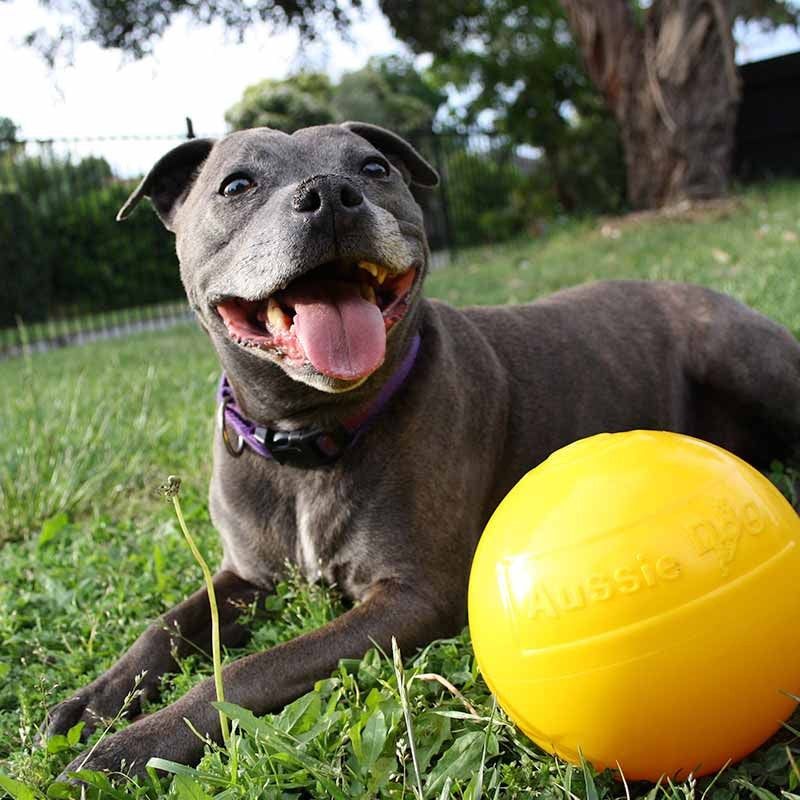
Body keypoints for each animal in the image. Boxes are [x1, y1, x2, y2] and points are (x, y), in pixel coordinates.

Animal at [47, 122, 800, 780]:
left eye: (374, 168)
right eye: (236, 184)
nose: (331, 193)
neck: (311, 436)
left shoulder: (410, 598)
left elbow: (247, 670)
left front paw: (131, 748)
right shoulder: (248, 576)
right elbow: (165, 627)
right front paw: (95, 702)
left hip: (735, 351)